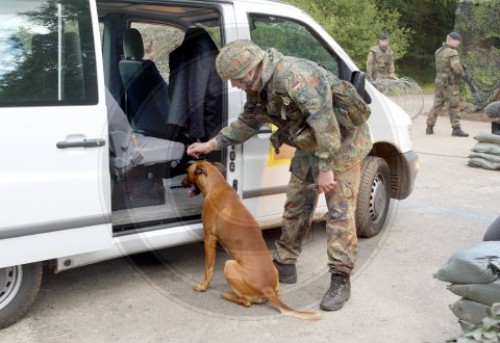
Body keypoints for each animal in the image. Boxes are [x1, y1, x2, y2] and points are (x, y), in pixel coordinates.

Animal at [183, 160, 320, 322]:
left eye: (187, 171)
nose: (181, 182)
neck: (216, 185)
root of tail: (268, 289)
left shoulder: (209, 237)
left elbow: (208, 269)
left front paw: (203, 286)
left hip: (229, 266)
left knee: (246, 302)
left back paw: (227, 294)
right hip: (273, 278)